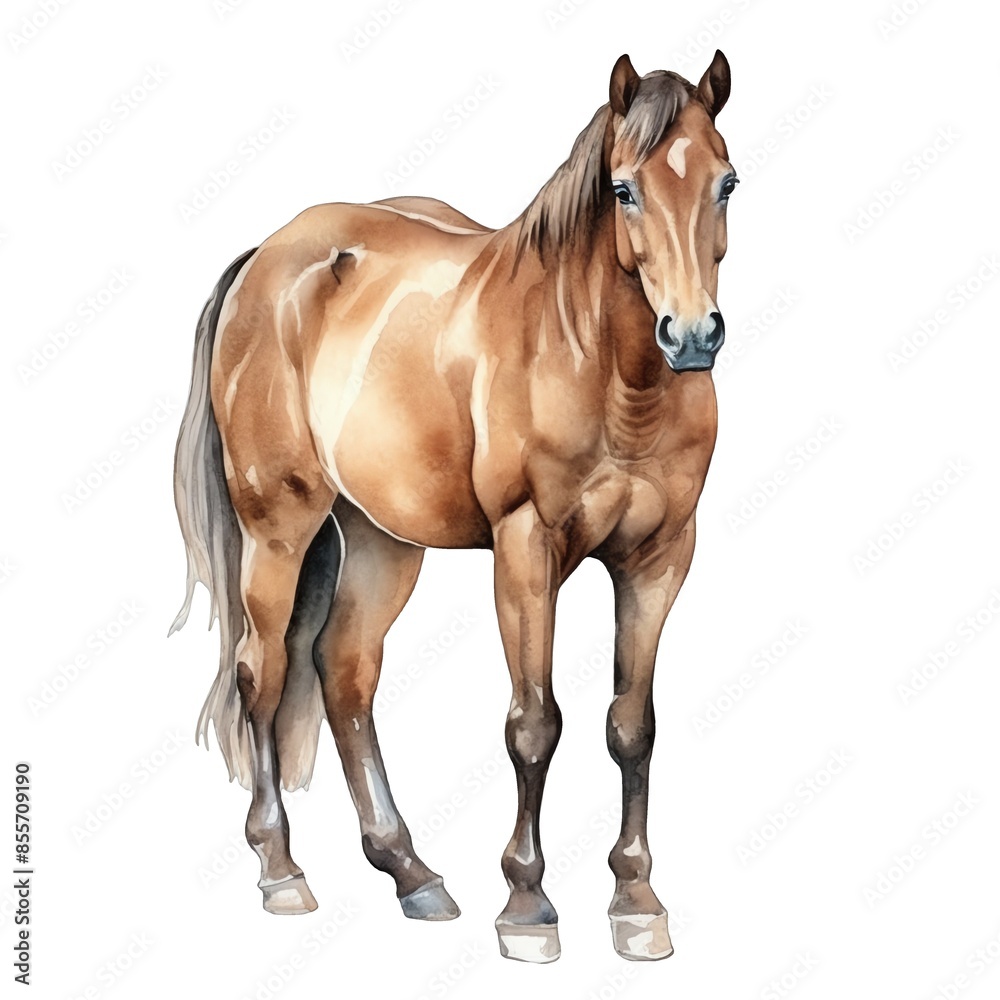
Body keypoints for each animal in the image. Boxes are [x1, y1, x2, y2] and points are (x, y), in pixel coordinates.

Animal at [171, 50, 736, 964]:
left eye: (727, 182)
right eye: (623, 188)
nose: (691, 337)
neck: (604, 371)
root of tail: (268, 256)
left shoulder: (659, 559)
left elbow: (631, 726)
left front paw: (637, 902)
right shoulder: (526, 551)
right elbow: (534, 724)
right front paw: (528, 906)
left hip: (380, 539)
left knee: (345, 672)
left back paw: (411, 872)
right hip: (278, 529)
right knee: (264, 672)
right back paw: (282, 871)